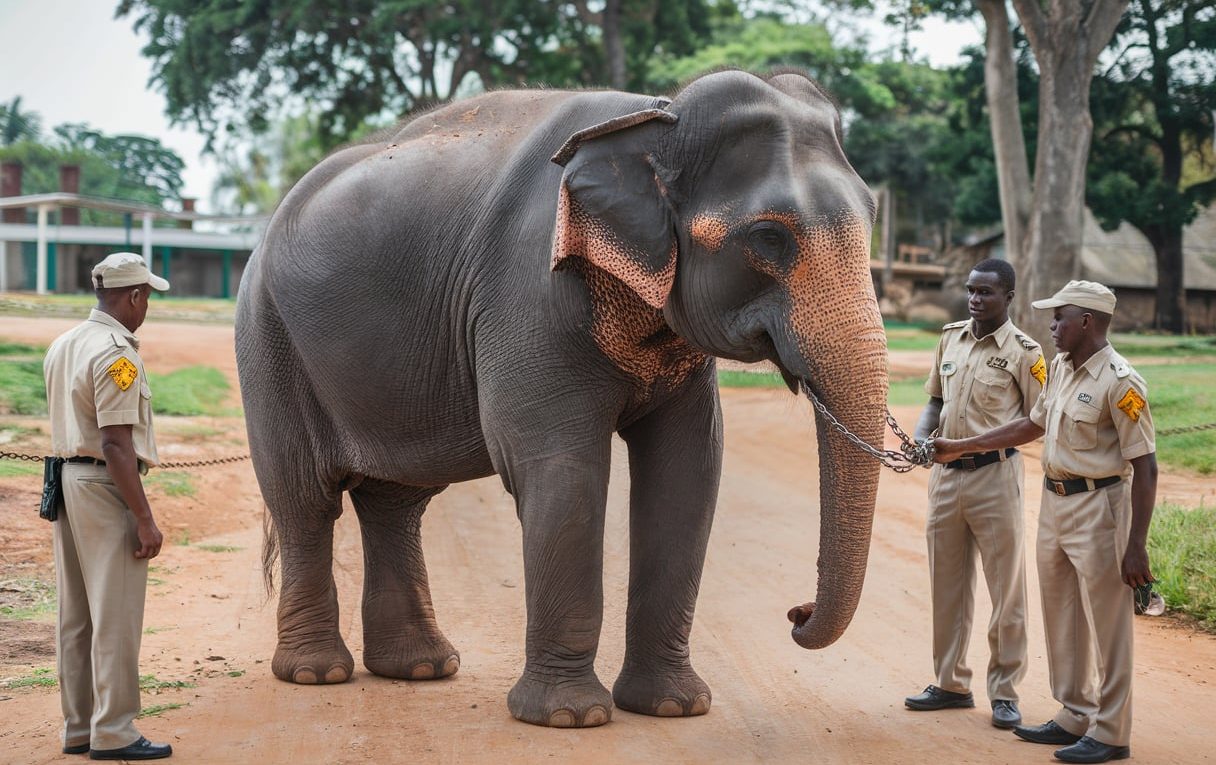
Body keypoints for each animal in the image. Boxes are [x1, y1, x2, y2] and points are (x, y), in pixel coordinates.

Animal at [234, 68, 888, 728]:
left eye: (872, 216)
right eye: (769, 237)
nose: (797, 614)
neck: (658, 117)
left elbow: (688, 472)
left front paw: (674, 707)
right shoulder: (528, 294)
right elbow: (563, 470)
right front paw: (570, 718)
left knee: (395, 502)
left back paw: (419, 668)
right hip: (267, 337)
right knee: (303, 497)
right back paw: (318, 674)